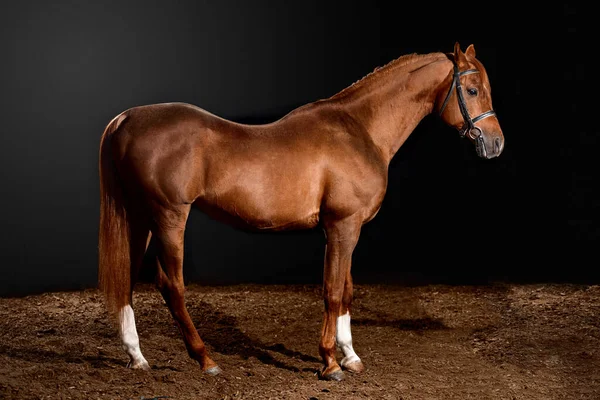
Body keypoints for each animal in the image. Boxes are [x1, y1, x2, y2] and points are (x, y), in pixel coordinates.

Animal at [97, 41, 502, 382]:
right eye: (471, 90)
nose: (496, 143)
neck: (360, 130)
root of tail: (125, 119)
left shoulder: (349, 230)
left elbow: (347, 290)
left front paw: (350, 356)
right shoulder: (342, 226)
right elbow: (332, 291)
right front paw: (330, 363)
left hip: (140, 217)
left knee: (127, 278)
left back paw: (137, 356)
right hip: (169, 216)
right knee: (171, 284)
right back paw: (205, 359)